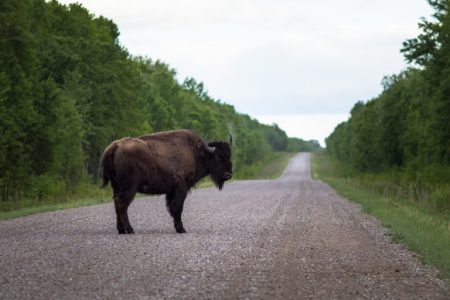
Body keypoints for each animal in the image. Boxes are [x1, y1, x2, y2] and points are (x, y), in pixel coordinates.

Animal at [101, 129, 232, 234]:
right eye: (218, 157)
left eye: (229, 156)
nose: (228, 175)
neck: (197, 153)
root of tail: (115, 146)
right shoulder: (181, 189)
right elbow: (177, 207)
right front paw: (182, 229)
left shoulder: (171, 191)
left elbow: (172, 208)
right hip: (129, 188)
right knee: (122, 204)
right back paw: (130, 230)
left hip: (116, 187)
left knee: (117, 204)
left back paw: (121, 230)